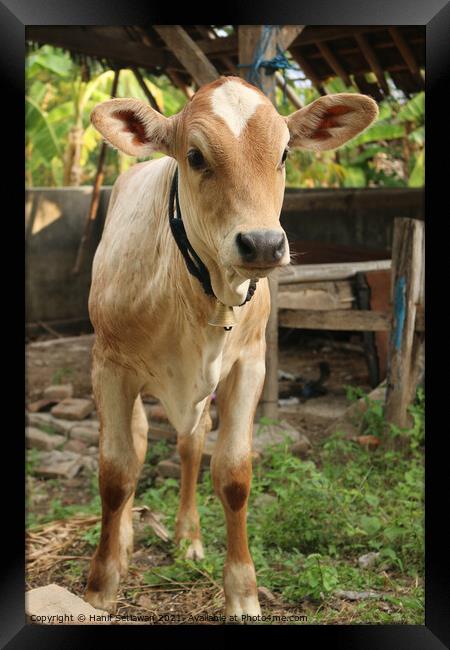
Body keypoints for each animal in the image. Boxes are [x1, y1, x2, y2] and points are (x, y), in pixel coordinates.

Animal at [83, 76, 376, 616]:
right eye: (195, 156)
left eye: (284, 153)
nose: (262, 244)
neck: (202, 291)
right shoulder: (108, 366)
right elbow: (115, 474)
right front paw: (101, 586)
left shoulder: (250, 365)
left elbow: (233, 474)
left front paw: (242, 591)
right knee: (138, 442)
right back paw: (128, 539)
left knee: (190, 445)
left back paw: (188, 536)